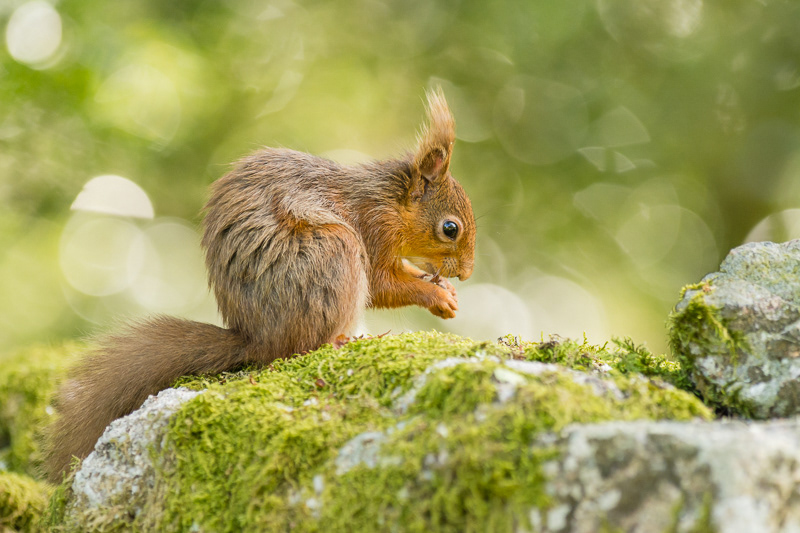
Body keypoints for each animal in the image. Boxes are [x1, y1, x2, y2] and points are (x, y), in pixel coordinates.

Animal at [44, 88, 475, 482]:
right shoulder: (373, 227)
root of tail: (258, 339)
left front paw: (447, 292)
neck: (391, 199)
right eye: (450, 228)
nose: (467, 274)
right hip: (334, 252)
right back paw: (344, 340)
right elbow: (384, 285)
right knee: (306, 344)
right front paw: (437, 295)